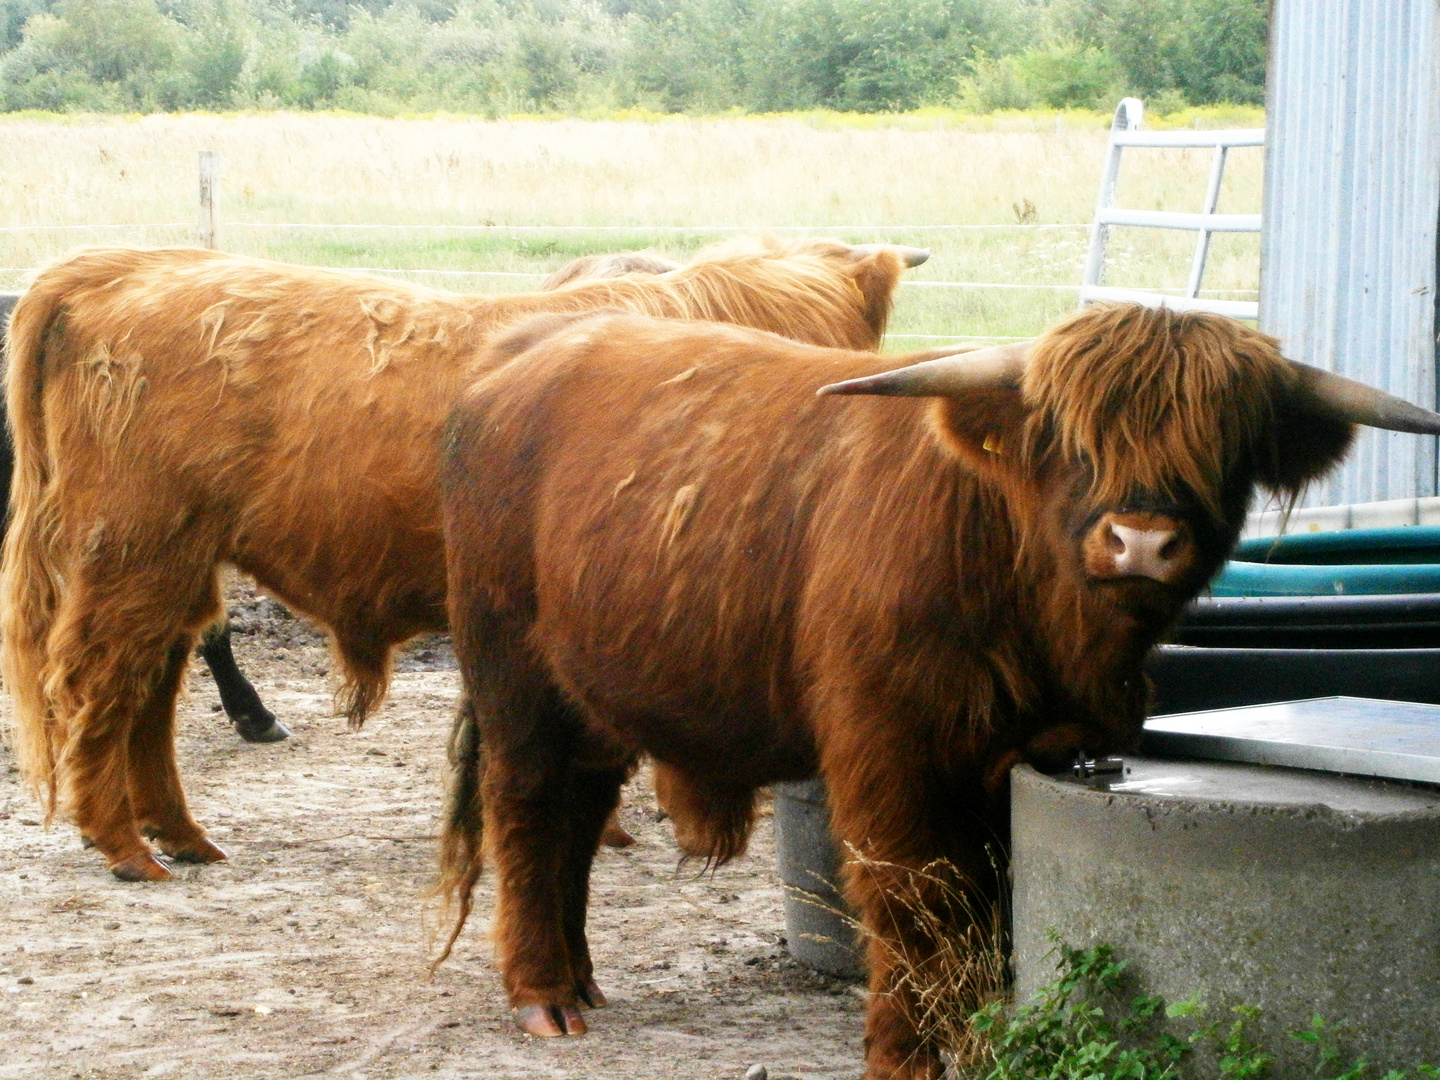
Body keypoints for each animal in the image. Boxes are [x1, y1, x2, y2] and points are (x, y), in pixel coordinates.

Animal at [2, 234, 921, 881]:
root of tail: (122, 265)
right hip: (134, 550)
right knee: (95, 682)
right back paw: (125, 846)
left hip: (176, 560)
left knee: (150, 690)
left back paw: (182, 835)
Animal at [437, 305, 1440, 1080]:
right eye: (1069, 441)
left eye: (1225, 446)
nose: (1142, 540)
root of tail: (522, 356)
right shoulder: (890, 750)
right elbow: (914, 902)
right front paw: (905, 1054)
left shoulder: (1030, 754)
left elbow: (993, 916)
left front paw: (980, 1038)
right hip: (515, 678)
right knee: (528, 811)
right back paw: (543, 995)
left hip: (594, 693)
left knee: (576, 816)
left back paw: (580, 977)